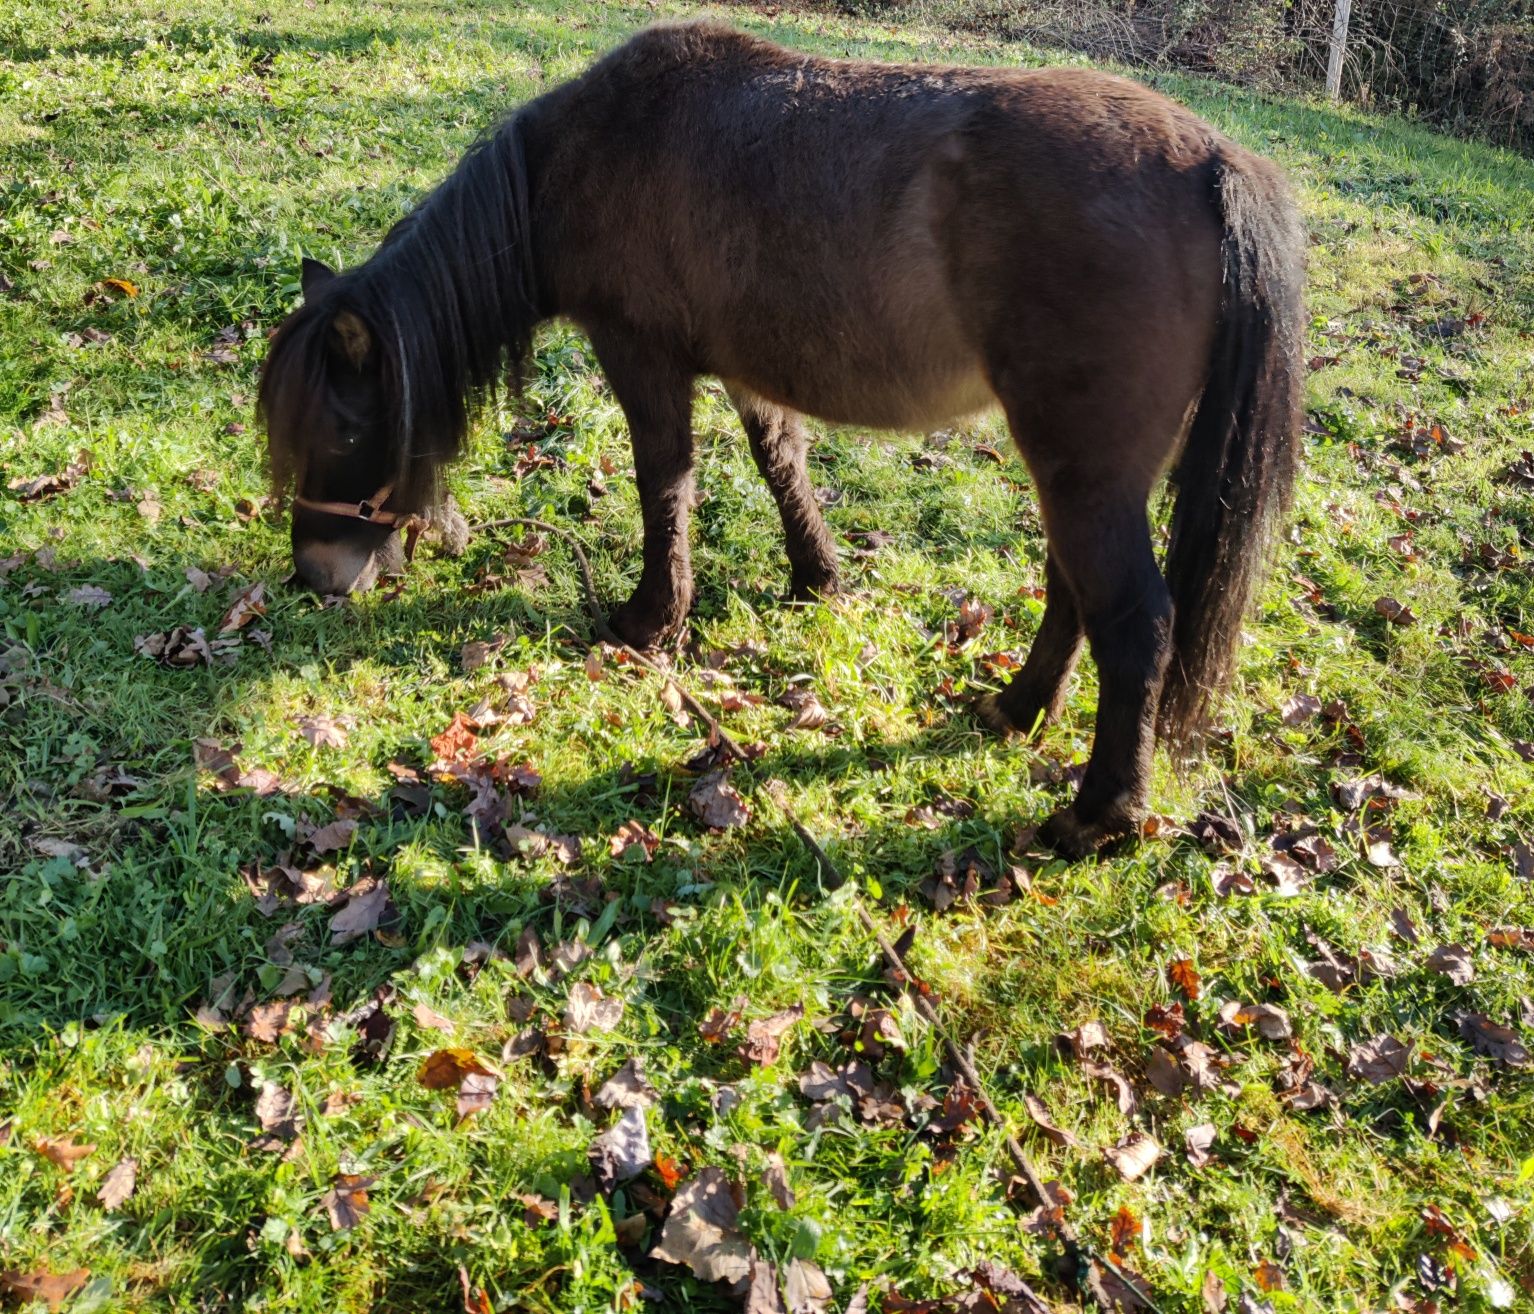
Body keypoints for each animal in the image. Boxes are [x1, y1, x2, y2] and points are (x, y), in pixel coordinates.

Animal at [257, 25, 1300, 858]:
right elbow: (778, 463)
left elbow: (664, 480)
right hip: (1080, 470)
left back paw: (1097, 816)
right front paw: (815, 577)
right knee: (1074, 590)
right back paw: (1015, 709)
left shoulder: (641, 356)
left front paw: (651, 619)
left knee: (1135, 621)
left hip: (1083, 469)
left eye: (345, 424)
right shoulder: (746, 369)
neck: (576, 162)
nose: (315, 573)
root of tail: (1211, 160)